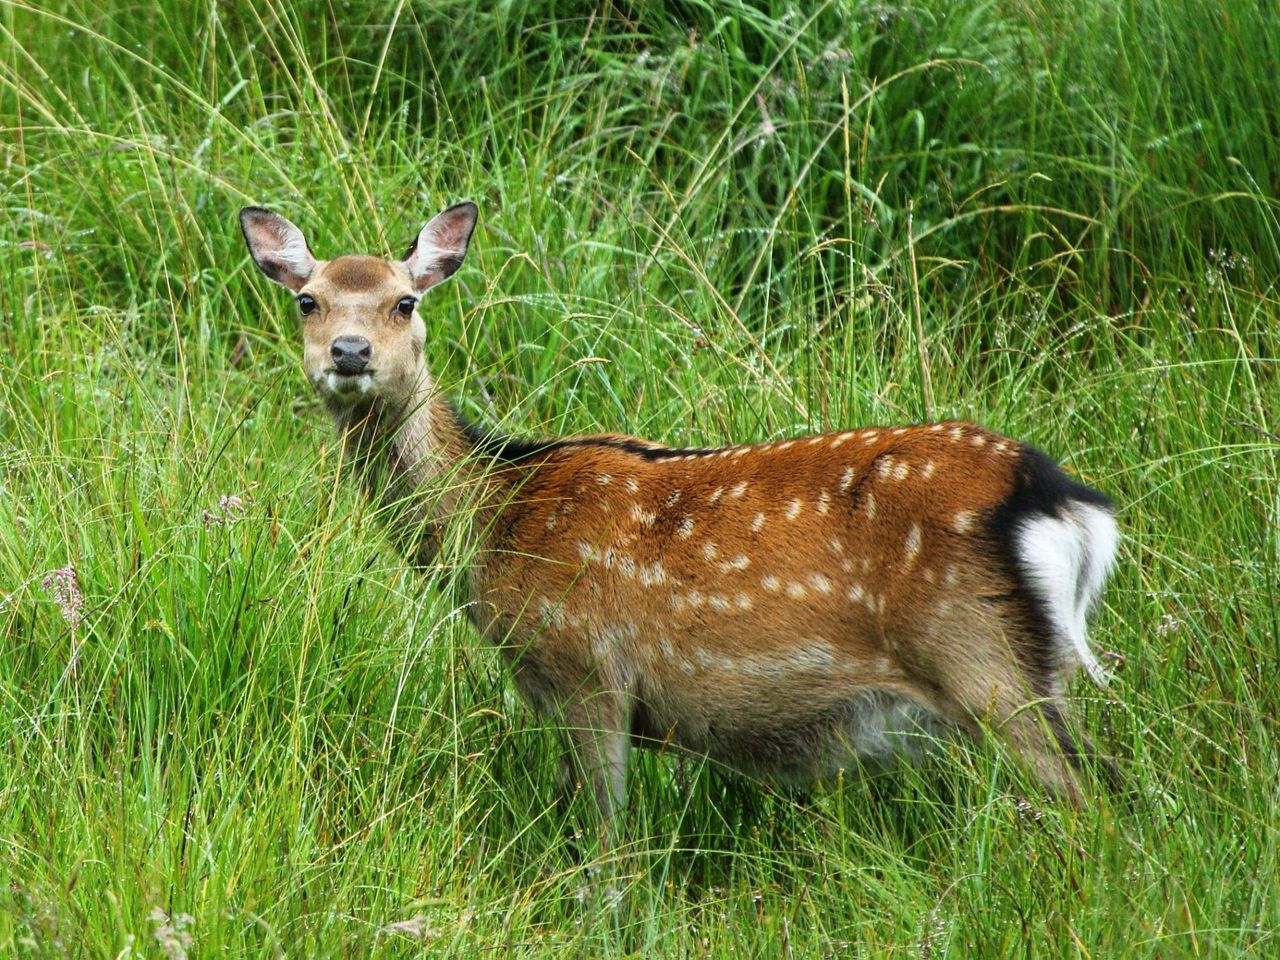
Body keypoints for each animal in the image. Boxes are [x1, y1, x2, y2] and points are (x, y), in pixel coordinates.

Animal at [240, 200, 1121, 841]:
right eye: (308, 300)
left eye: (405, 301)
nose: (349, 353)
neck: (499, 519)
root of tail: (1057, 496)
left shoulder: (588, 669)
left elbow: (604, 838)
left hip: (980, 656)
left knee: (1097, 805)